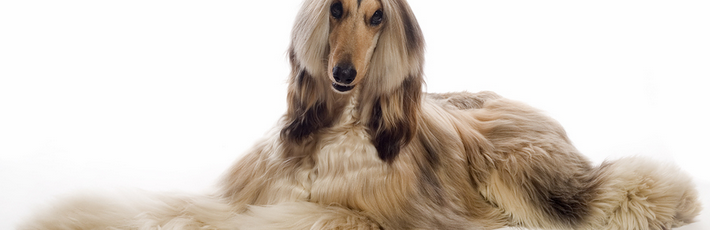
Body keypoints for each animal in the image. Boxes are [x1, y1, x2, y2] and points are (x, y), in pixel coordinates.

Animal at [20, 0, 700, 229]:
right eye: (337, 9)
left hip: (521, 167)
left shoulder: (382, 213)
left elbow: (322, 218)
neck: (333, 130)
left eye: (378, 16)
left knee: (609, 190)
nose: (344, 75)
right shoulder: (240, 191)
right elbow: (160, 206)